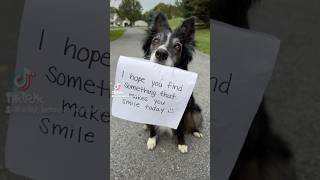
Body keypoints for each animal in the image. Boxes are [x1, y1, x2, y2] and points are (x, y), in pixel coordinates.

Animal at [142, 13, 202, 153]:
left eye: (177, 46)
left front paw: (182, 144)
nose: (161, 53)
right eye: (155, 40)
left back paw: (196, 131)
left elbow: (180, 129)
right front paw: (152, 139)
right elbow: (152, 127)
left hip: (195, 109)